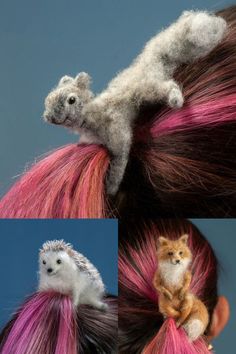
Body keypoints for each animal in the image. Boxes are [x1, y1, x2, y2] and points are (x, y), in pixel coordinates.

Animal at [43, 10, 227, 196]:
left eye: (71, 100)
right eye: (47, 101)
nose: (49, 117)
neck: (93, 116)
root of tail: (150, 60)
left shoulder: (119, 134)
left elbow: (119, 162)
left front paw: (111, 188)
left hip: (150, 88)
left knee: (170, 86)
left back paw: (176, 100)